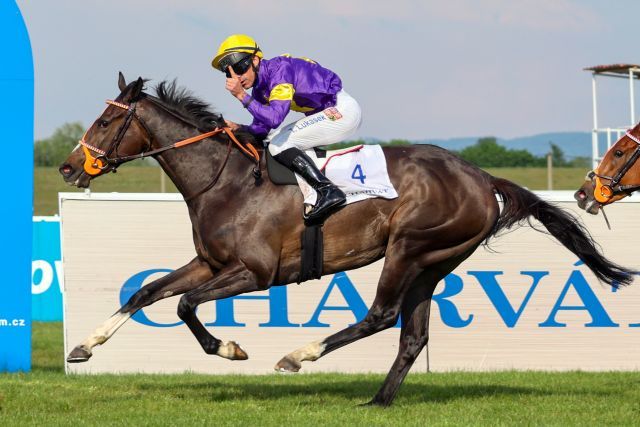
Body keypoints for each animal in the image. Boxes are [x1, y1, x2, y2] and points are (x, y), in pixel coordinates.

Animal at [60, 73, 636, 408]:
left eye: (106, 120)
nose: (68, 167)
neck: (223, 179)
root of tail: (480, 176)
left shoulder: (255, 272)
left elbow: (184, 305)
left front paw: (229, 347)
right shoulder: (210, 262)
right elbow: (147, 291)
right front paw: (84, 346)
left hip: (408, 247)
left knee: (381, 316)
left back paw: (299, 355)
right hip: (434, 261)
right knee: (412, 334)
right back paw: (378, 401)